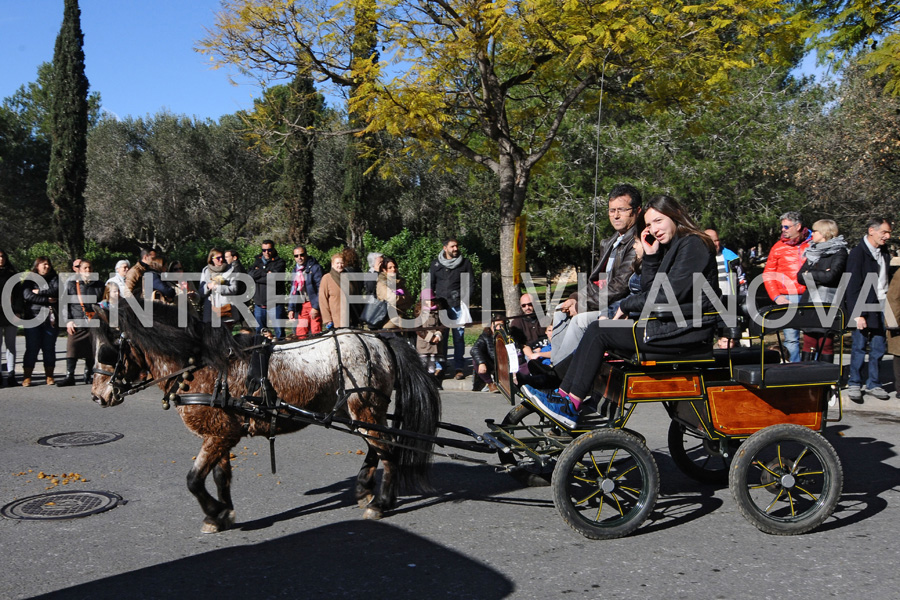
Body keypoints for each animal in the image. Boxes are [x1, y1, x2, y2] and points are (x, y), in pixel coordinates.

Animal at [91, 302, 442, 532]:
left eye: (106, 351)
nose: (97, 395)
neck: (203, 367)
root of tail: (380, 338)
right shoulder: (222, 433)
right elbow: (219, 476)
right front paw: (221, 513)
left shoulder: (218, 435)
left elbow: (193, 479)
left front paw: (214, 511)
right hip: (359, 413)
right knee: (378, 448)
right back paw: (366, 490)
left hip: (365, 408)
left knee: (388, 451)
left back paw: (380, 502)